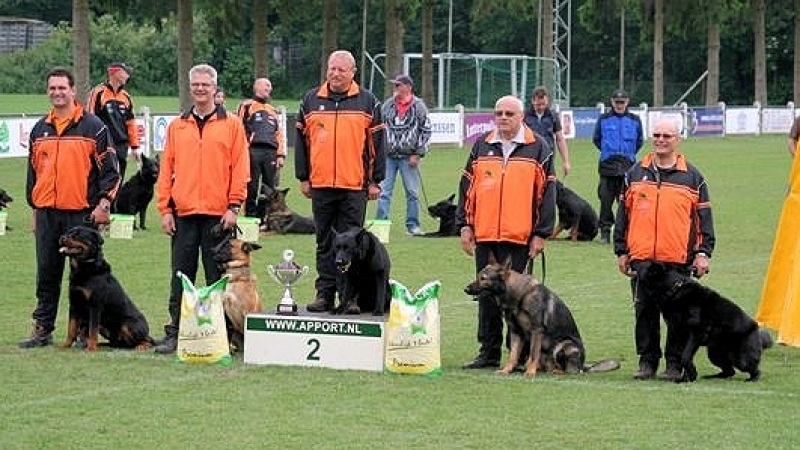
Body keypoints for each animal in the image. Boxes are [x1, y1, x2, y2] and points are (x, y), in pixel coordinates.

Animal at [466, 253, 620, 376]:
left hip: (565, 345)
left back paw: (554, 371)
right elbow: (513, 356)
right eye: (478, 276)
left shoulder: (536, 330)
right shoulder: (516, 332)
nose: (465, 289)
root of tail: (583, 366)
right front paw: (506, 371)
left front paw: (530, 373)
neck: (520, 295)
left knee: (568, 370)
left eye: (483, 278)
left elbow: (534, 353)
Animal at [636, 264, 776, 384]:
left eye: (644, 268)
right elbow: (684, 357)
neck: (674, 288)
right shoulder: (682, 333)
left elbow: (685, 356)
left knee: (755, 370)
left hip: (740, 359)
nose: (633, 262)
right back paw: (712, 376)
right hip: (715, 354)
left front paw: (690, 375)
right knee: (729, 371)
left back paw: (752, 379)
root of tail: (757, 332)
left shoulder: (696, 334)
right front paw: (686, 378)